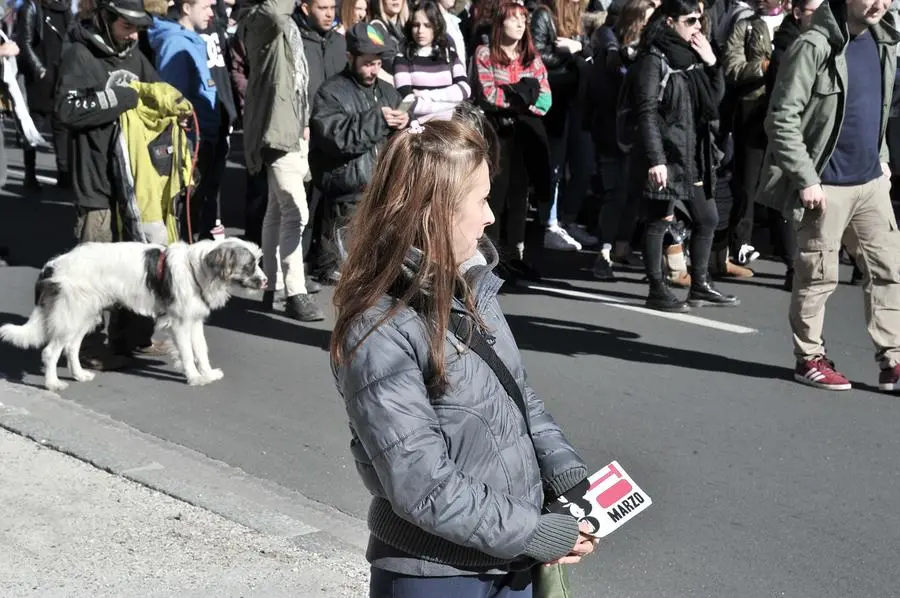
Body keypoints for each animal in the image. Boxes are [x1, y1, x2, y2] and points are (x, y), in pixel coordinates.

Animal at [0, 239, 268, 394]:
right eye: (249, 265)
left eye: (257, 262)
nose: (266, 282)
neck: (198, 268)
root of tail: (54, 264)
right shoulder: (180, 323)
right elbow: (187, 353)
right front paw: (194, 377)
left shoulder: (194, 321)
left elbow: (201, 350)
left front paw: (208, 373)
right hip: (71, 315)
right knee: (51, 351)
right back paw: (52, 384)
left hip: (84, 315)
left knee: (71, 348)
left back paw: (79, 375)